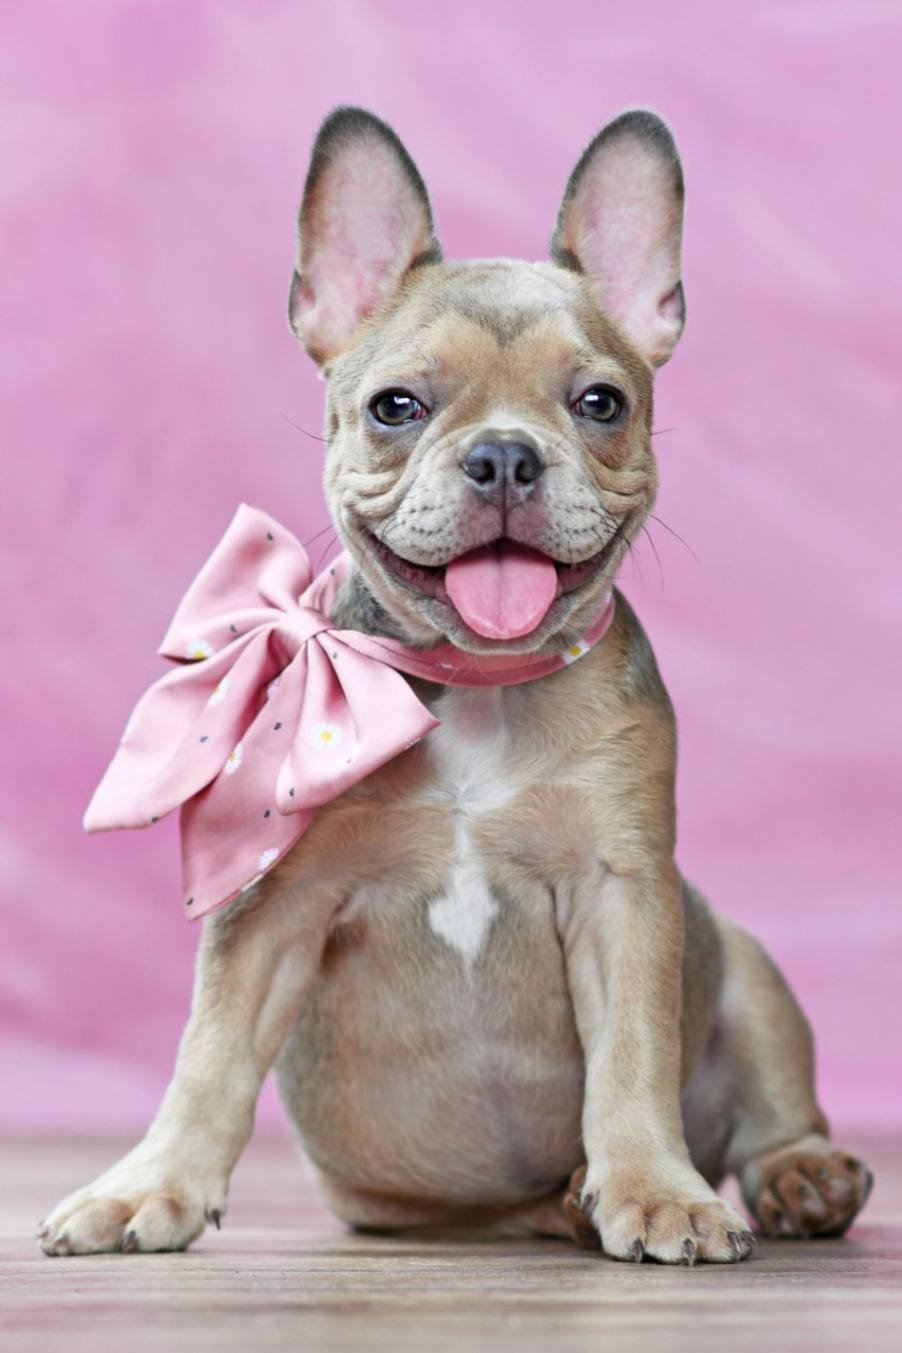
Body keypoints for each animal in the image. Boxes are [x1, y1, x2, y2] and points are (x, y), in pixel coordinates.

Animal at [42, 108, 876, 1266]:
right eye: (396, 406)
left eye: (600, 402)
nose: (504, 456)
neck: (473, 683)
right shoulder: (275, 903)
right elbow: (208, 1055)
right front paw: (146, 1186)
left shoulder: (621, 891)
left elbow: (632, 1057)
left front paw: (653, 1189)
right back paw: (566, 1200)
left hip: (747, 970)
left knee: (773, 1112)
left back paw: (795, 1179)